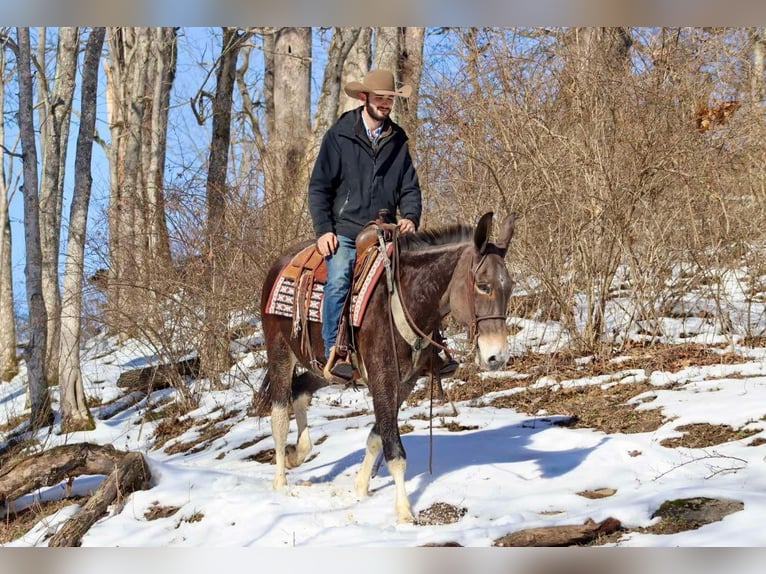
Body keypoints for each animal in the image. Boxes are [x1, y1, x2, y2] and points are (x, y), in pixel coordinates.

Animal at [257, 211, 516, 523]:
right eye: (483, 285)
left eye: (510, 287)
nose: (497, 357)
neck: (404, 301)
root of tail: (281, 263)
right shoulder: (382, 379)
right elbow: (394, 450)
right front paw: (404, 511)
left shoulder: (404, 384)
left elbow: (376, 436)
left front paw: (360, 487)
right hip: (280, 353)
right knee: (279, 415)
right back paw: (280, 480)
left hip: (325, 369)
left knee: (301, 390)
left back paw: (298, 453)